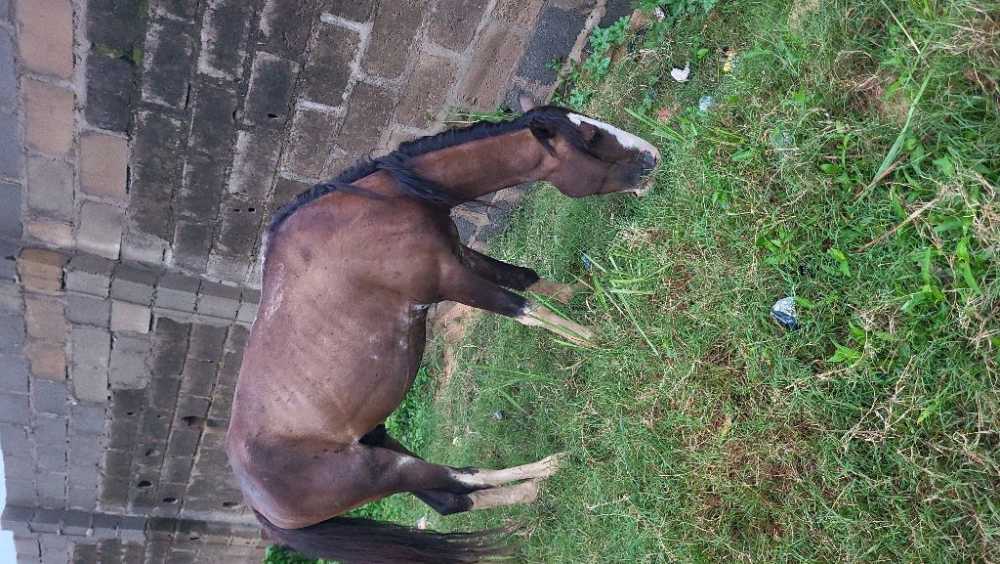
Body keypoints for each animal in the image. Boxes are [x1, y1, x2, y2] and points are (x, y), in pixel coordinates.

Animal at [225, 96, 660, 563]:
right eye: (592, 137)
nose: (653, 155)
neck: (384, 205)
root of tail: (259, 506)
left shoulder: (458, 254)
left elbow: (522, 278)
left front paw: (579, 292)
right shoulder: (450, 279)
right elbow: (523, 309)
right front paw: (600, 341)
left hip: (379, 442)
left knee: (451, 500)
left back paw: (529, 493)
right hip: (380, 472)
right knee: (458, 479)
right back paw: (545, 474)